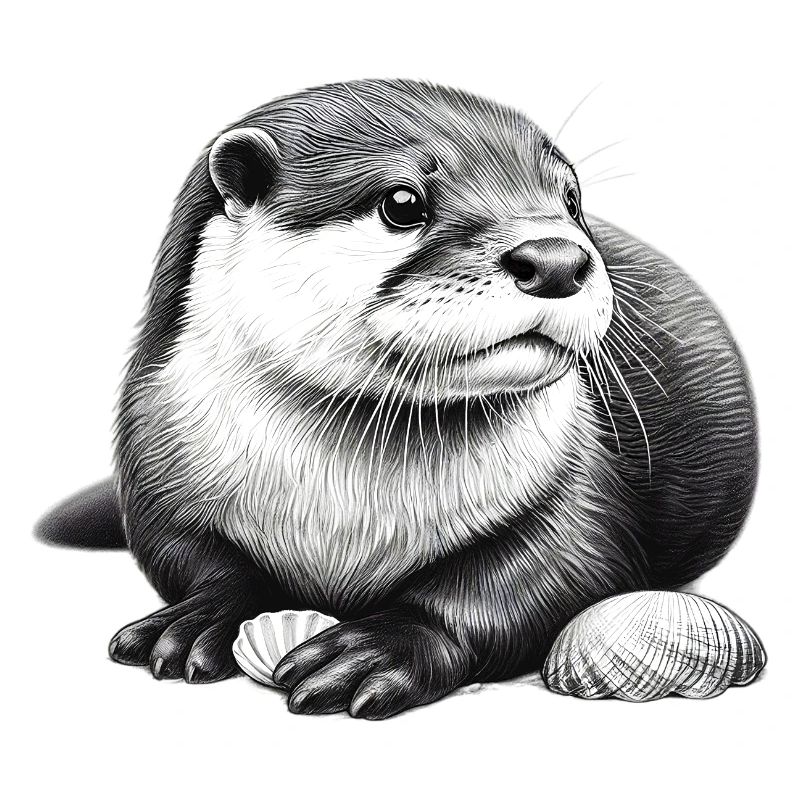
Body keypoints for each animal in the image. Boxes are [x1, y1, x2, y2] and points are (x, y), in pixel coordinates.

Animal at [38, 79, 756, 719]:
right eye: (403, 202)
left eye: (572, 199)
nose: (556, 257)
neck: (341, 514)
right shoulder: (155, 453)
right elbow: (185, 552)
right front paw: (196, 619)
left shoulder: (581, 478)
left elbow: (553, 571)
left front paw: (382, 648)